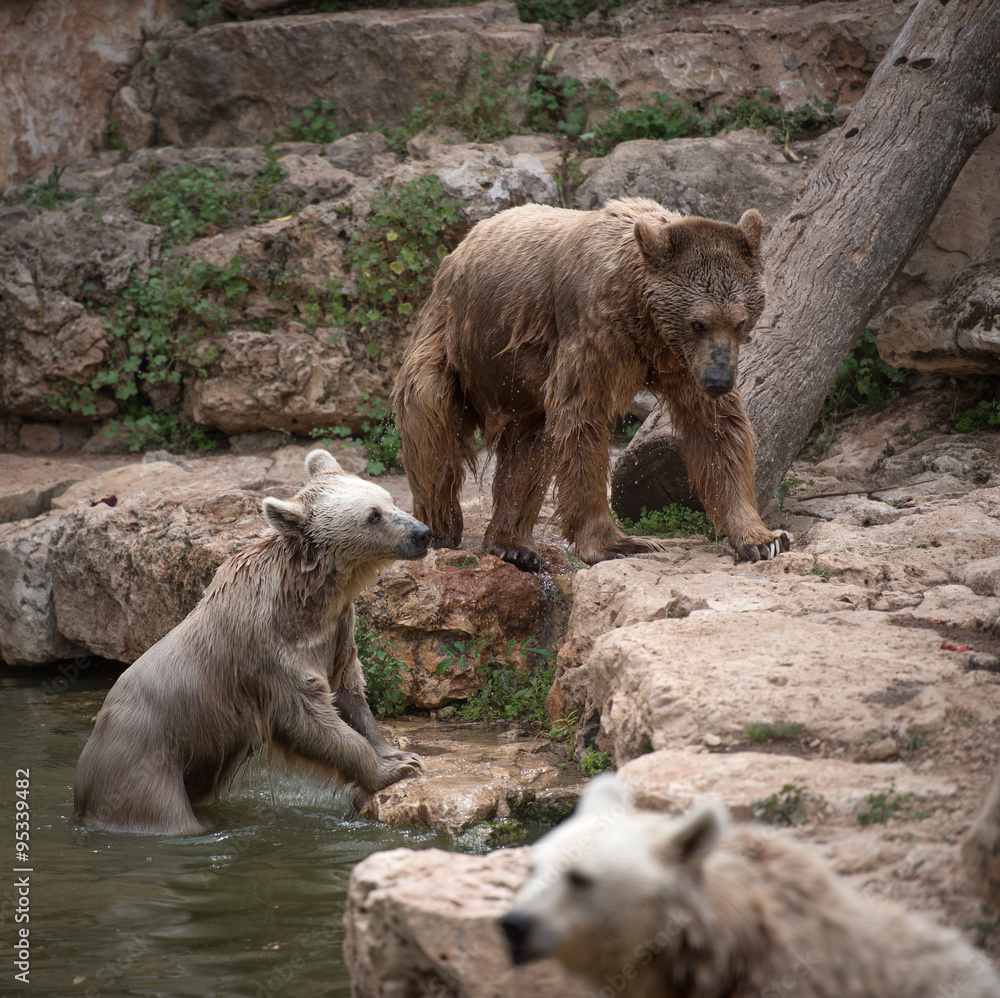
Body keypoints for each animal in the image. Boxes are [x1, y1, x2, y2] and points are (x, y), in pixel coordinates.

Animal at [70, 452, 430, 836]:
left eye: (391, 501)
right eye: (373, 515)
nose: (423, 533)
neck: (308, 600)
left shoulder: (337, 631)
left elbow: (348, 692)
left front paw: (399, 754)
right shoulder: (269, 650)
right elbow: (305, 717)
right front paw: (391, 770)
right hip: (141, 765)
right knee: (164, 813)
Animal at [390, 197, 788, 572]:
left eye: (739, 322)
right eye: (698, 323)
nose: (719, 380)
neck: (645, 324)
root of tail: (461, 246)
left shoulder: (683, 363)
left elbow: (718, 432)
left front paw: (762, 538)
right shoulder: (595, 333)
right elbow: (582, 422)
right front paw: (618, 542)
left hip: (522, 385)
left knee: (527, 451)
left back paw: (512, 544)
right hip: (454, 344)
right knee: (433, 433)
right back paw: (440, 528)